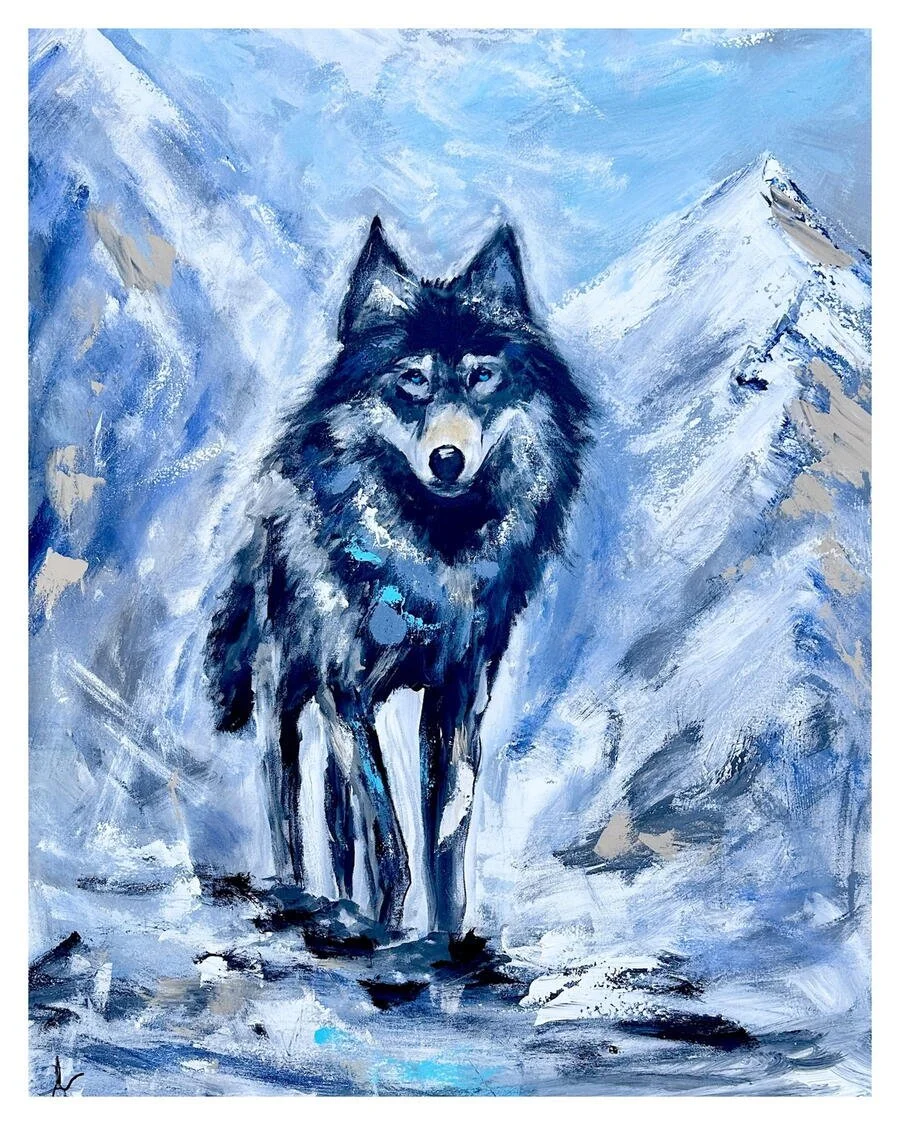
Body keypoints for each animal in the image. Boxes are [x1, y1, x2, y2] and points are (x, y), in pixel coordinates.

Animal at [204, 217, 590, 935]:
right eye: (412, 379)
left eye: (482, 376)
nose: (447, 459)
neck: (430, 559)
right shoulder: (347, 694)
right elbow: (392, 841)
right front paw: (389, 927)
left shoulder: (456, 704)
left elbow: (445, 844)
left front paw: (444, 938)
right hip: (289, 707)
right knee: (286, 810)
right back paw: (299, 895)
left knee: (337, 826)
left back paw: (343, 902)